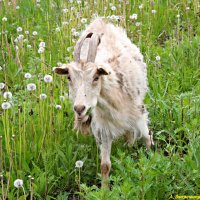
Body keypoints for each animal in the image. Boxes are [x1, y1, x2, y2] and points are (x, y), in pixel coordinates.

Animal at [54, 18, 153, 188]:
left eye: (96, 77)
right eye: (69, 77)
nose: (79, 108)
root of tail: (100, 22)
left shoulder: (138, 113)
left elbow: (147, 139)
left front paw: (153, 163)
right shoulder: (103, 128)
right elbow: (105, 165)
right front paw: (104, 190)